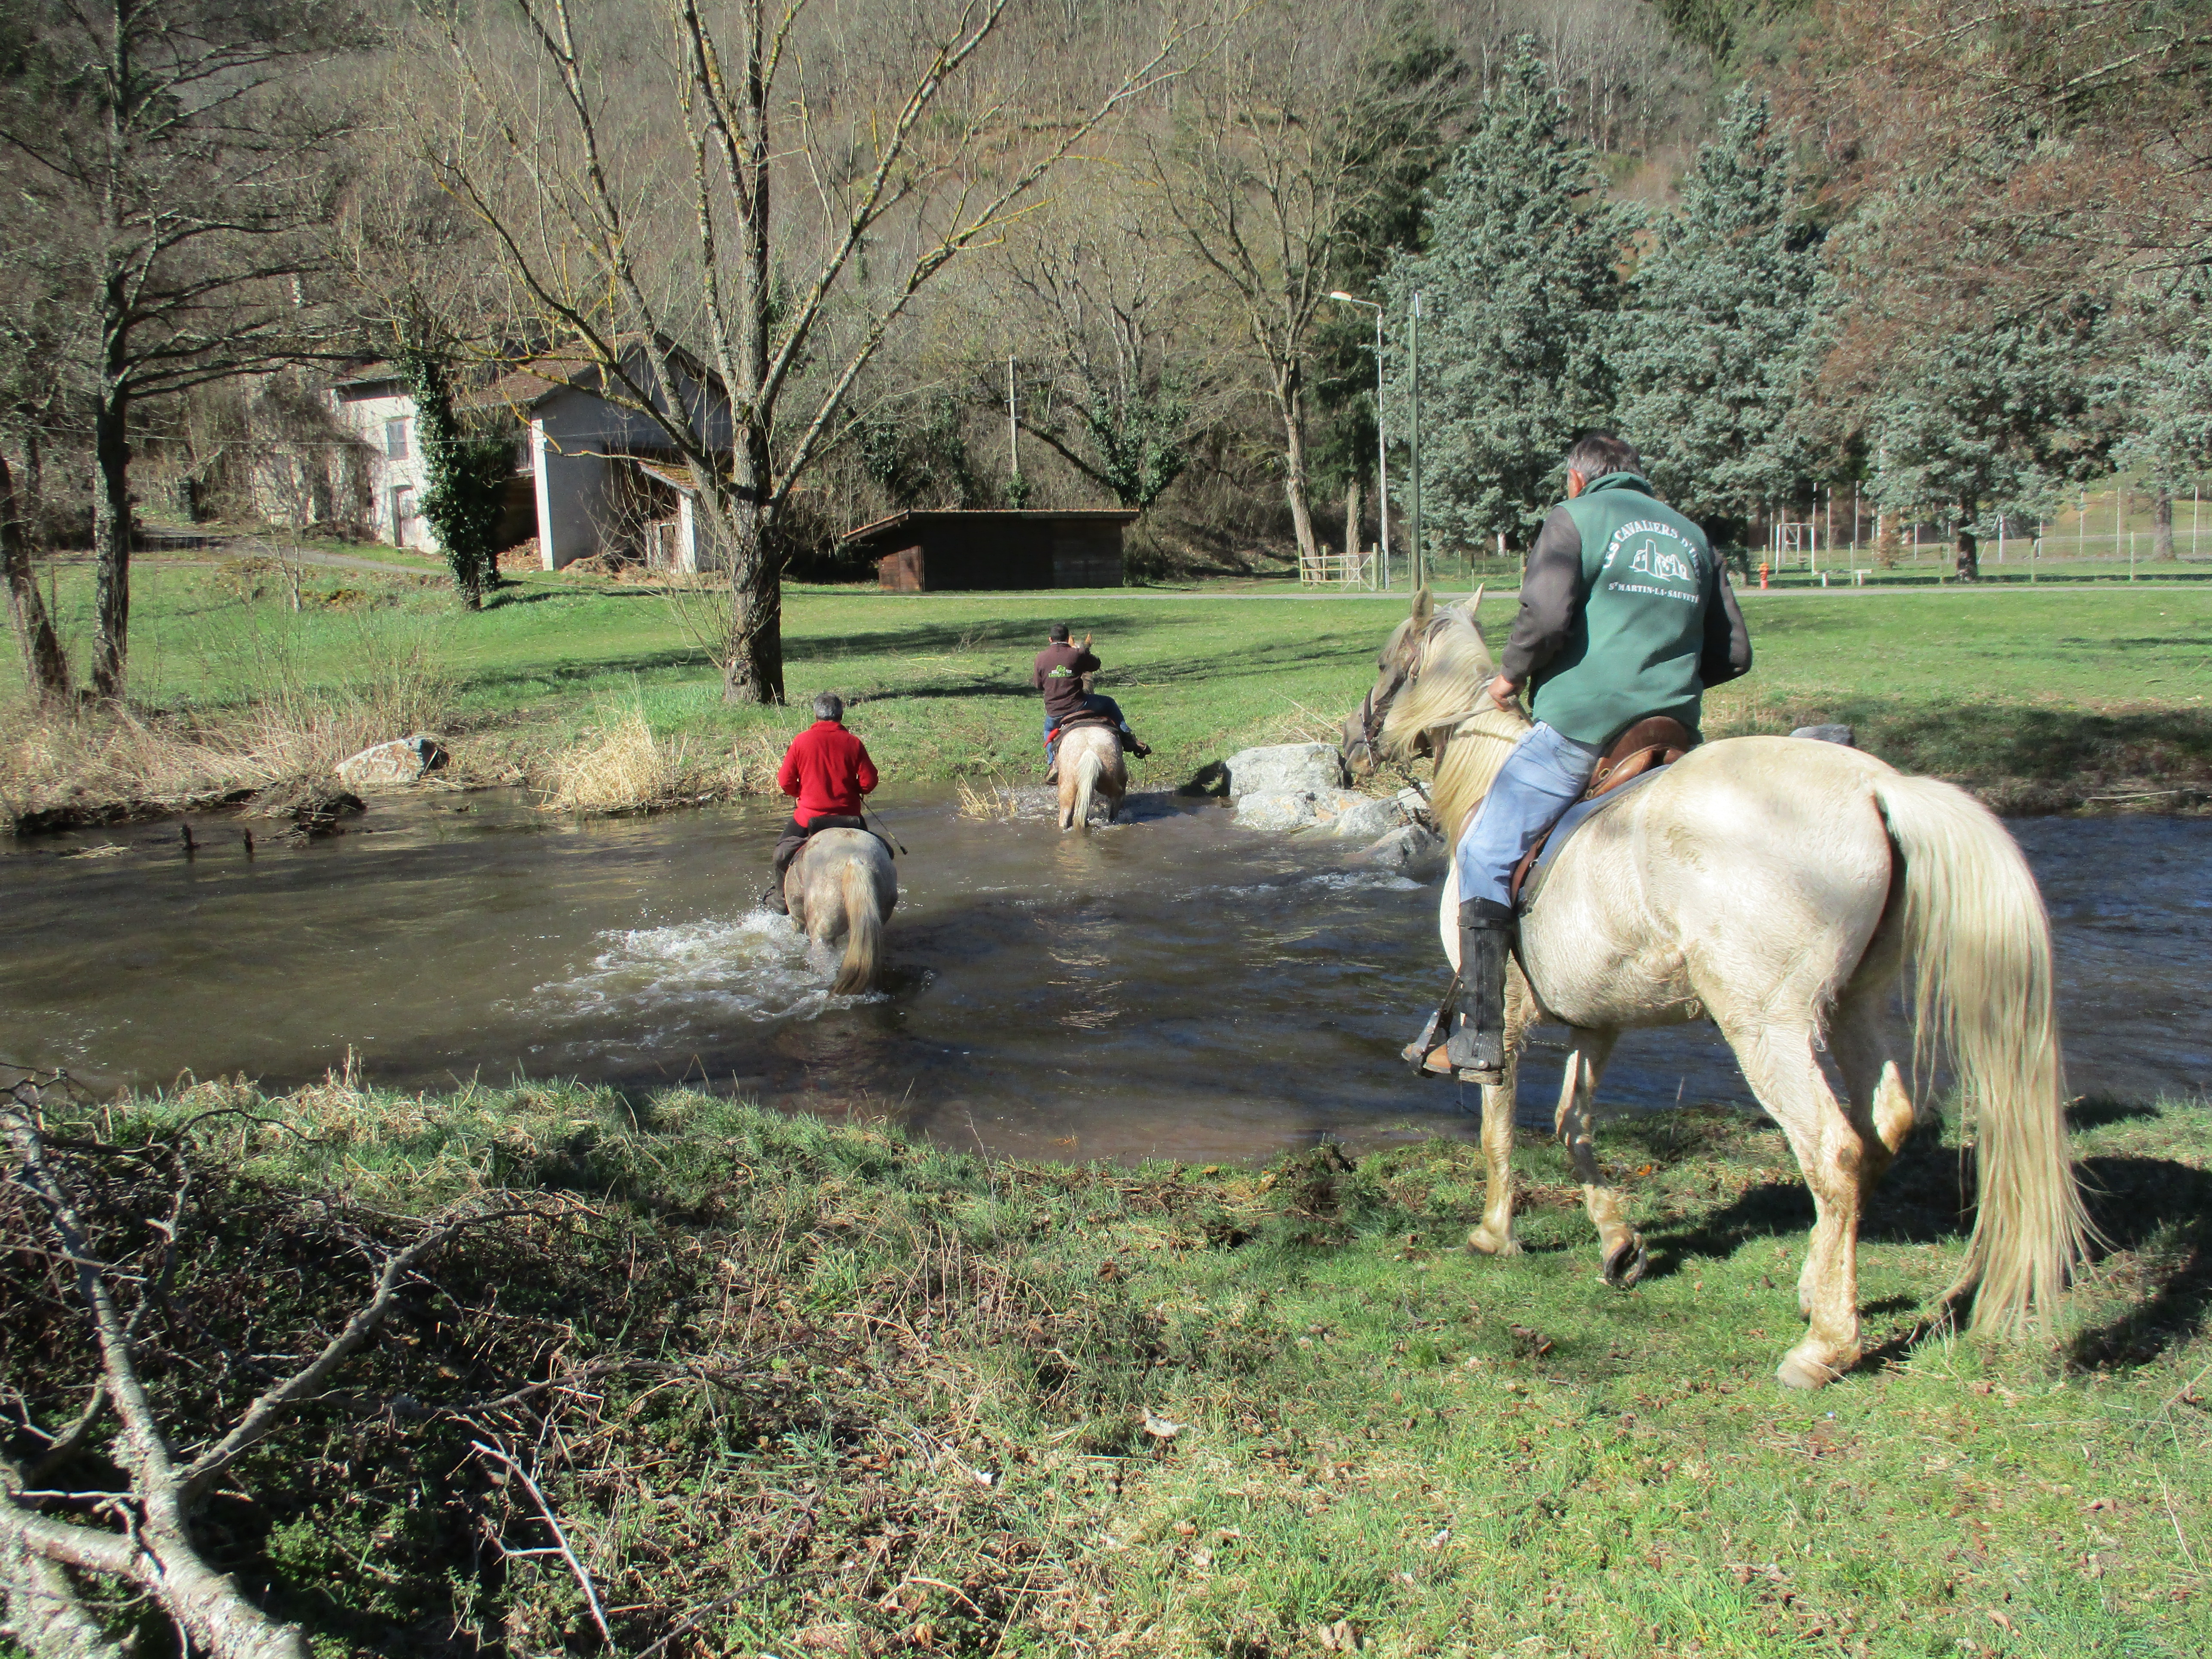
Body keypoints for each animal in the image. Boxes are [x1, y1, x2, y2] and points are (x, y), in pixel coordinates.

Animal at [1345, 592, 2088, 1398]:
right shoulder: (1598, 1024)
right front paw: (1618, 1242)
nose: (1348, 750)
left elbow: (1498, 1126)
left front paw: (1494, 1231)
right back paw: (1816, 1285)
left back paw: (1825, 1345)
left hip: (1766, 1026)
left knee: (1833, 1151)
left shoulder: (1505, 1019)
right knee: (1881, 1126)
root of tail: (1877, 787)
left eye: (1385, 664)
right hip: (1851, 1004)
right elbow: (1574, 1123)